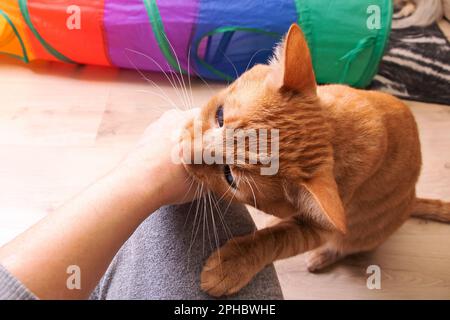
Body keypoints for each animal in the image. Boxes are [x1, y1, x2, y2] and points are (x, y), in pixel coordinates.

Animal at [180, 23, 450, 298]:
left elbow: (275, 240)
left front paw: (233, 264)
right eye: (220, 115)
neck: (336, 131)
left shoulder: (321, 229)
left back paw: (320, 257)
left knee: (343, 246)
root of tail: (412, 199)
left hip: (360, 234)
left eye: (229, 177)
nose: (184, 152)